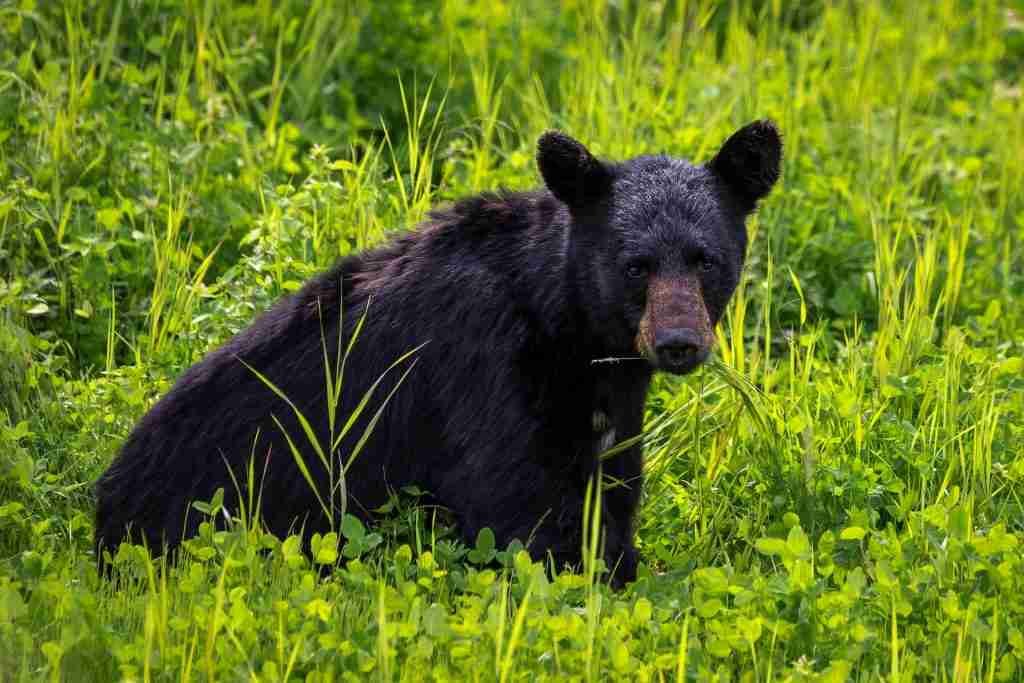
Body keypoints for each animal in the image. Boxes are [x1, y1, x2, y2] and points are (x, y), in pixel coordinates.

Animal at [97, 120, 782, 585]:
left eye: (706, 260)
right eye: (635, 265)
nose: (678, 343)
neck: (566, 326)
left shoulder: (607, 398)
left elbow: (609, 486)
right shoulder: (486, 367)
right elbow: (521, 509)